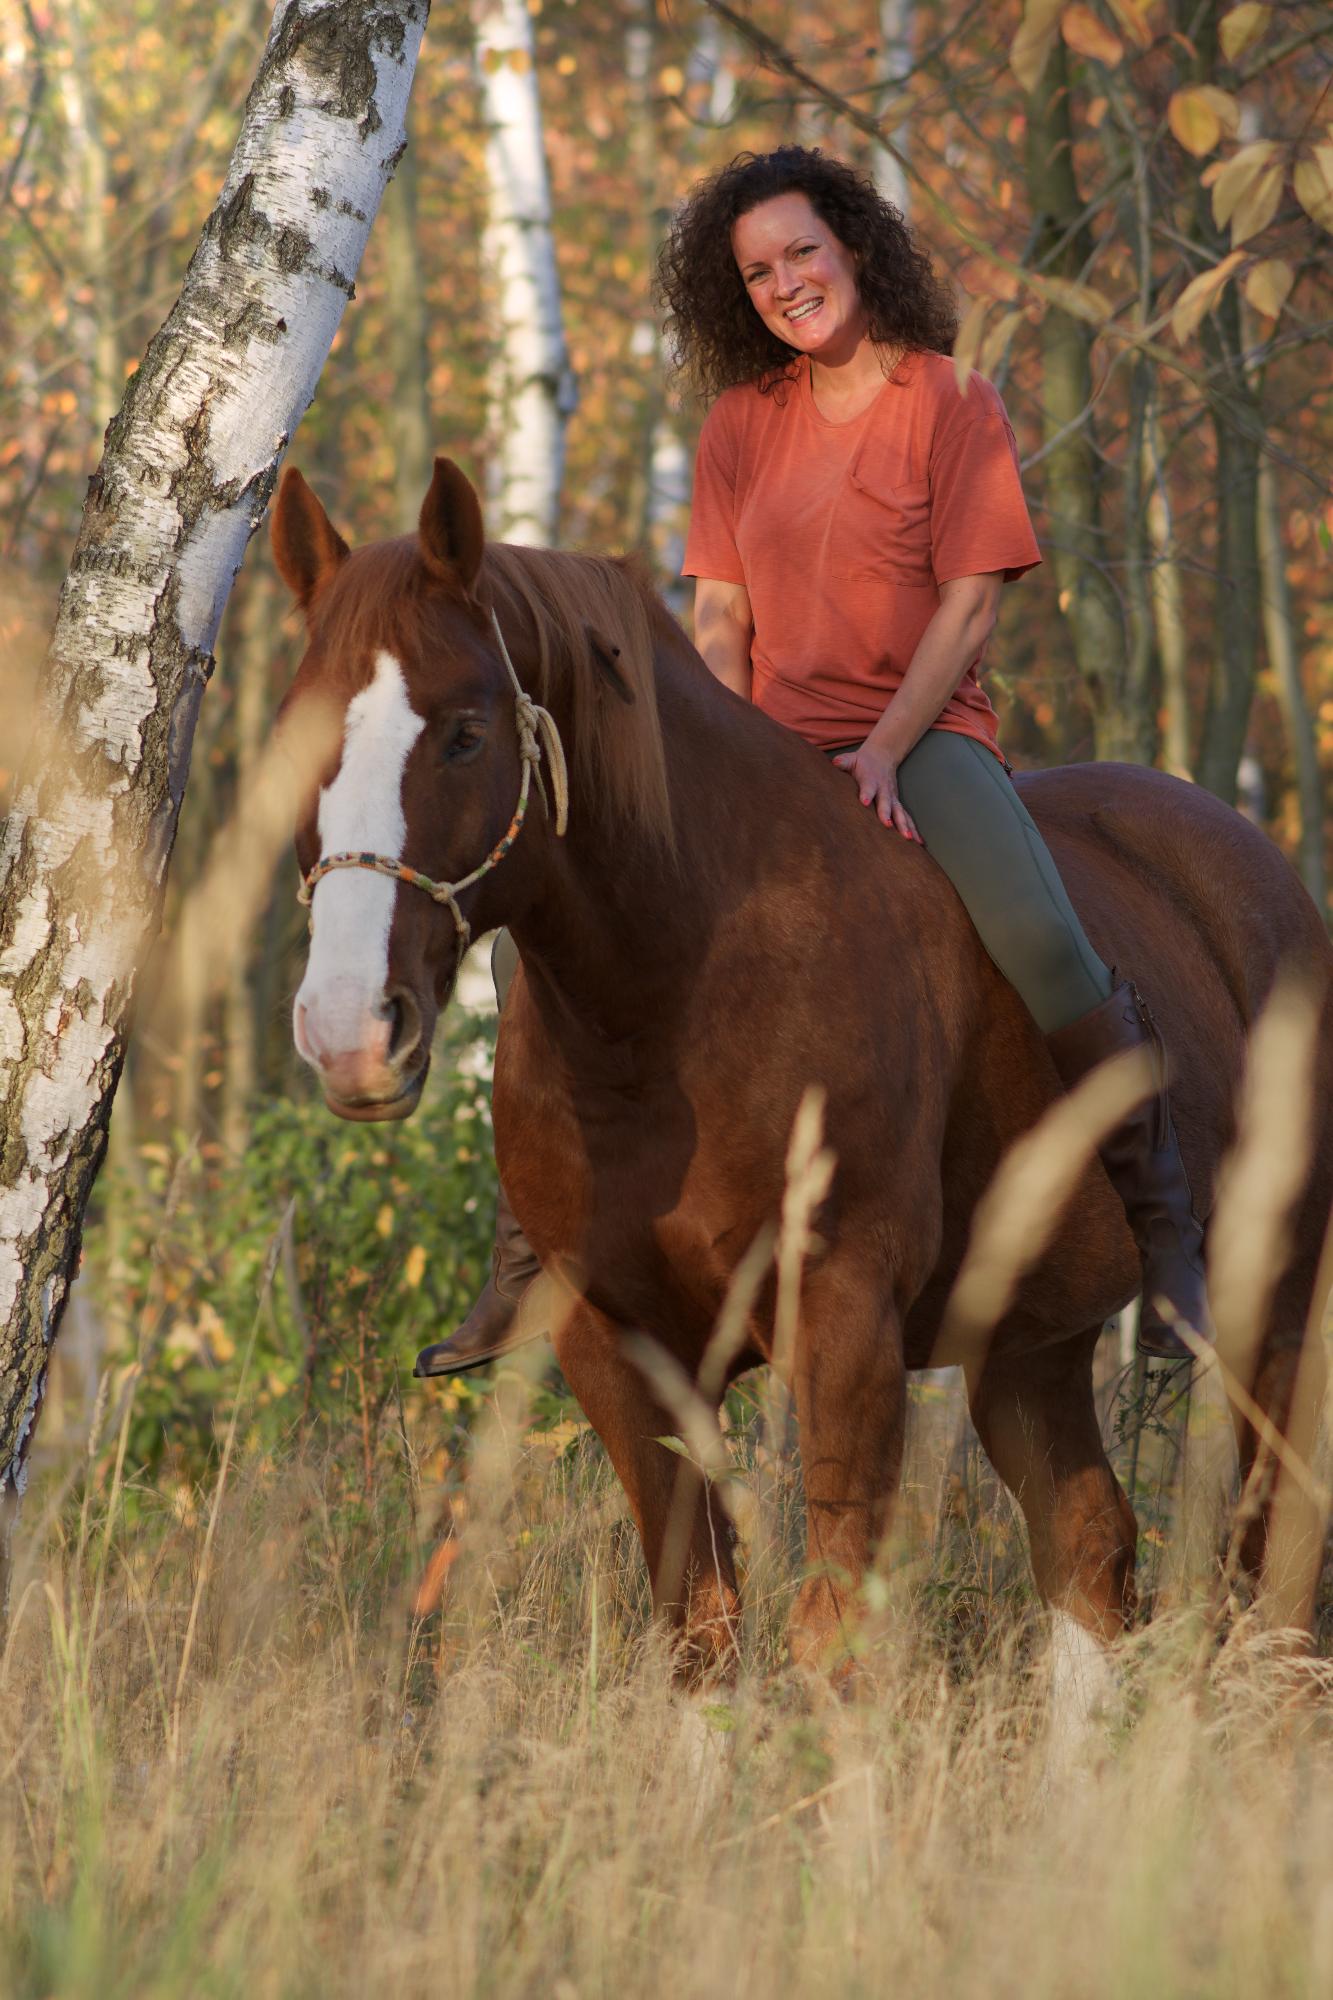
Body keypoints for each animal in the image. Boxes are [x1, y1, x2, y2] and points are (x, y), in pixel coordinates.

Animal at [272, 460, 1328, 1680]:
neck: (667, 1001)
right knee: (1088, 1551)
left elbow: (834, 1636)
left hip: (1269, 1304)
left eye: (463, 733)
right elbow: (699, 1625)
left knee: (1277, 1557)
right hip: (1030, 1341)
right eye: (299, 735)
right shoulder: (616, 1345)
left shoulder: (844, 1320)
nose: (349, 1029)